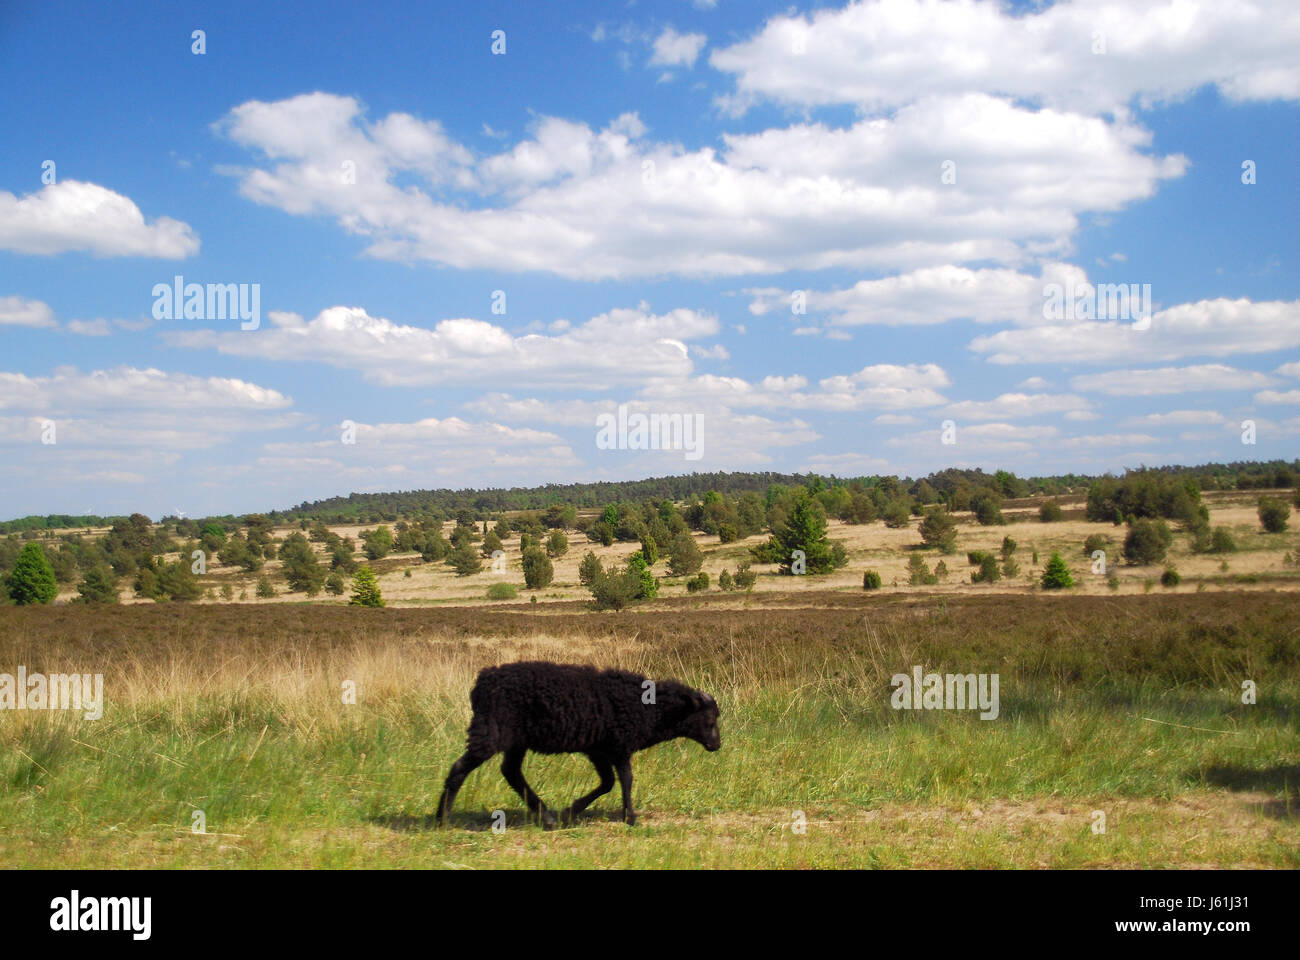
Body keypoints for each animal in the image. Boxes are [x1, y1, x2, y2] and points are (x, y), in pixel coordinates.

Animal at [436, 658, 722, 822]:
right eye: (709, 719)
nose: (716, 745)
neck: (650, 708)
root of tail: (482, 683)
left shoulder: (598, 749)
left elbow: (608, 782)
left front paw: (571, 811)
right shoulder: (619, 745)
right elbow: (626, 779)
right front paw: (630, 817)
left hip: (515, 740)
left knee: (511, 772)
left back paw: (547, 817)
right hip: (491, 732)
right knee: (460, 768)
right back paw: (442, 818)